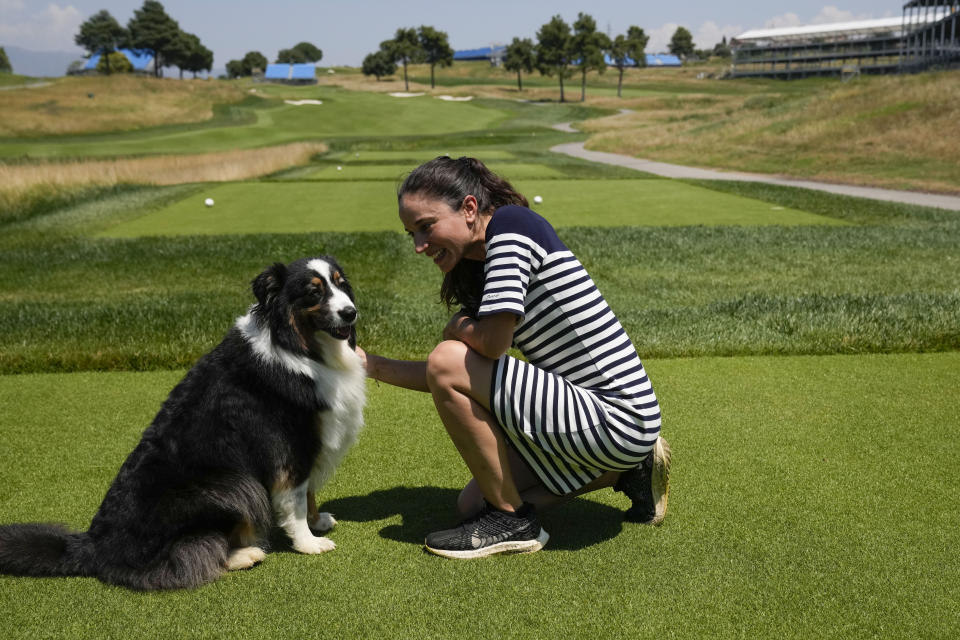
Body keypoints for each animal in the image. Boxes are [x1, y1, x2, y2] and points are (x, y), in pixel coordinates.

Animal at [0, 255, 366, 592]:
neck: (298, 346)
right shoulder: (290, 443)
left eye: (341, 284)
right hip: (232, 484)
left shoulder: (311, 442)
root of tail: (94, 545)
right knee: (188, 555)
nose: (351, 312)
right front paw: (308, 542)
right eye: (313, 292)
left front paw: (317, 521)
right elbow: (296, 498)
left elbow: (310, 491)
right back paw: (243, 554)